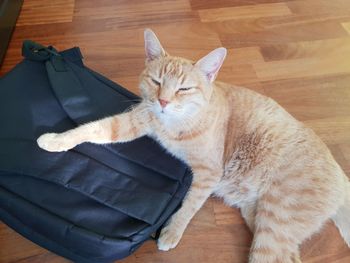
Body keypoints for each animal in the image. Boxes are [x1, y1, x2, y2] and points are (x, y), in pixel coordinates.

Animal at [37, 29, 350, 263]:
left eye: (183, 89)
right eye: (157, 81)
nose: (163, 101)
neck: (175, 123)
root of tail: (341, 176)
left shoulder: (209, 174)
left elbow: (188, 206)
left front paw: (172, 231)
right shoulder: (133, 122)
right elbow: (94, 129)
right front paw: (56, 140)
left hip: (275, 221)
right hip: (259, 217)